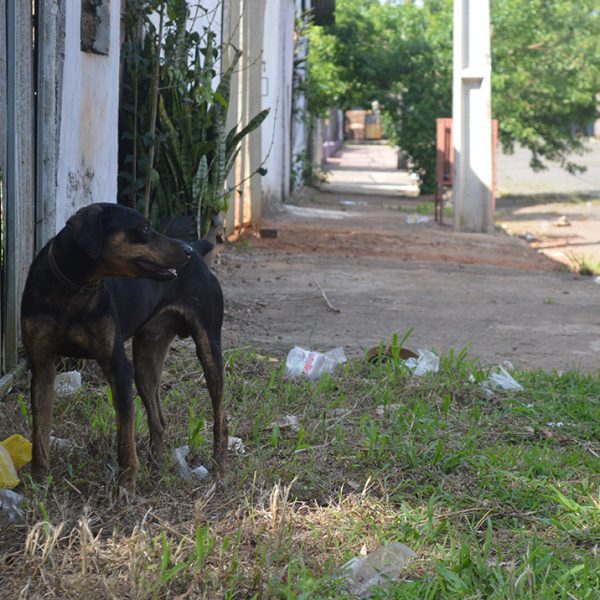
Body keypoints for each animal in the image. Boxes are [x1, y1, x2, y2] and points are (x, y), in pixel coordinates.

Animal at [21, 203, 227, 492]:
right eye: (144, 228)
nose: (186, 250)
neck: (73, 290)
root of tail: (200, 249)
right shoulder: (41, 366)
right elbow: (39, 429)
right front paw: (39, 481)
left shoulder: (118, 368)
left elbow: (125, 433)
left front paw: (126, 485)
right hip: (146, 359)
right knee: (158, 422)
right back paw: (155, 470)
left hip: (209, 348)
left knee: (221, 417)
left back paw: (219, 469)